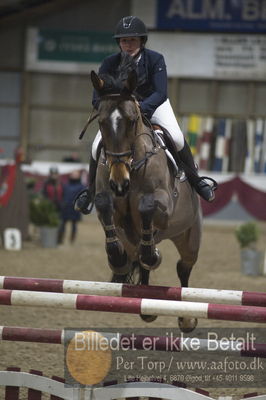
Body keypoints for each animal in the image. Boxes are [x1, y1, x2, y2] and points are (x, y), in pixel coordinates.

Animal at [89, 67, 202, 332]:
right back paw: (147, 305)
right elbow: (104, 205)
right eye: (101, 122)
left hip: (190, 238)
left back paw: (186, 318)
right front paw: (117, 258)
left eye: (131, 121)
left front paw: (152, 253)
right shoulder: (109, 202)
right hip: (130, 242)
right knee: (140, 260)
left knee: (182, 267)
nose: (120, 183)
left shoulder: (164, 205)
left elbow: (147, 206)